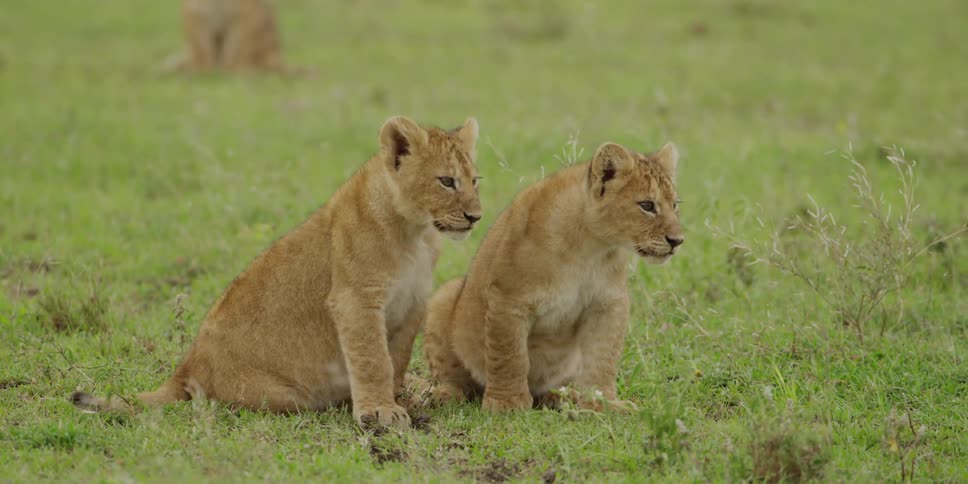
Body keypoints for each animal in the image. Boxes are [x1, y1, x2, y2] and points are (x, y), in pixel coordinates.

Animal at [71, 116, 483, 429]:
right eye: (446, 181)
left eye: (475, 180)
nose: (475, 217)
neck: (416, 233)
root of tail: (185, 367)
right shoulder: (355, 301)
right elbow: (373, 360)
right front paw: (380, 411)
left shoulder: (413, 304)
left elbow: (395, 358)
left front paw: (399, 398)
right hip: (286, 396)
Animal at [423, 141, 683, 412]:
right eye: (647, 206)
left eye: (675, 205)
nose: (678, 241)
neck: (590, 247)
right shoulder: (508, 299)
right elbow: (510, 356)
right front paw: (507, 403)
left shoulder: (608, 304)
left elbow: (603, 358)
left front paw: (602, 403)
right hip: (444, 297)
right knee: (455, 378)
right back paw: (444, 395)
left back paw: (562, 397)